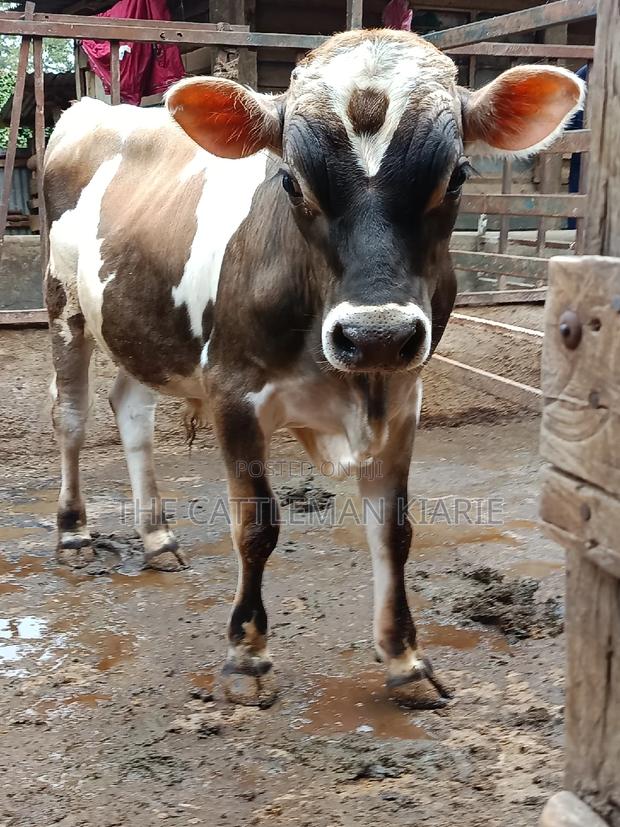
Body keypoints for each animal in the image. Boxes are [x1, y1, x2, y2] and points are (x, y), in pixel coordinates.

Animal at [44, 28, 584, 706]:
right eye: (292, 183)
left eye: (457, 176)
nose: (375, 335)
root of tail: (93, 110)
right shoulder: (233, 392)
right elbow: (256, 525)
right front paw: (246, 657)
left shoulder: (402, 395)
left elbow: (394, 529)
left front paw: (406, 660)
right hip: (64, 301)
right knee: (71, 417)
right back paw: (73, 533)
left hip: (143, 324)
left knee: (131, 408)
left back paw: (157, 538)